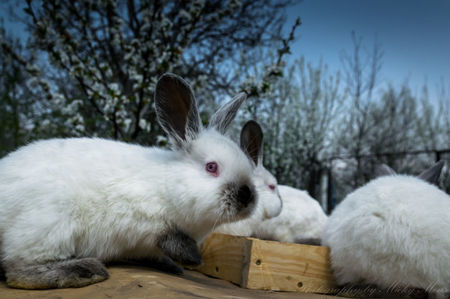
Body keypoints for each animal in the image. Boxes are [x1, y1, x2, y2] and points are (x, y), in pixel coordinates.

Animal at [0, 73, 256, 290]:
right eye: (212, 167)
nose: (247, 197)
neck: (168, 182)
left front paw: (171, 266)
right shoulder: (142, 216)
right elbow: (167, 236)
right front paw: (192, 259)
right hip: (48, 225)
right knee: (17, 270)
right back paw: (86, 271)